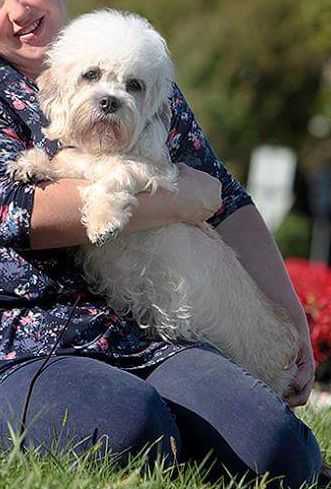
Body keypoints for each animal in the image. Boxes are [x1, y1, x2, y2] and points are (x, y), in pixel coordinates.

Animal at [9, 8, 300, 396]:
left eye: (134, 85)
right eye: (91, 74)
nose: (110, 102)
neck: (100, 149)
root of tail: (287, 348)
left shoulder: (153, 175)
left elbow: (113, 176)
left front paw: (102, 222)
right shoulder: (76, 163)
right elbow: (61, 162)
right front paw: (29, 165)